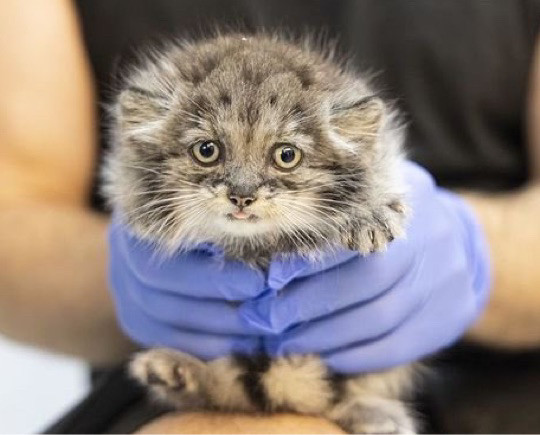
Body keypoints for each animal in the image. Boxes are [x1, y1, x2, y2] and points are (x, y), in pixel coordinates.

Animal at [104, 32, 418, 434]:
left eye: (286, 155)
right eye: (207, 150)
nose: (242, 195)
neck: (256, 246)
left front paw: (369, 212)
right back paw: (176, 372)